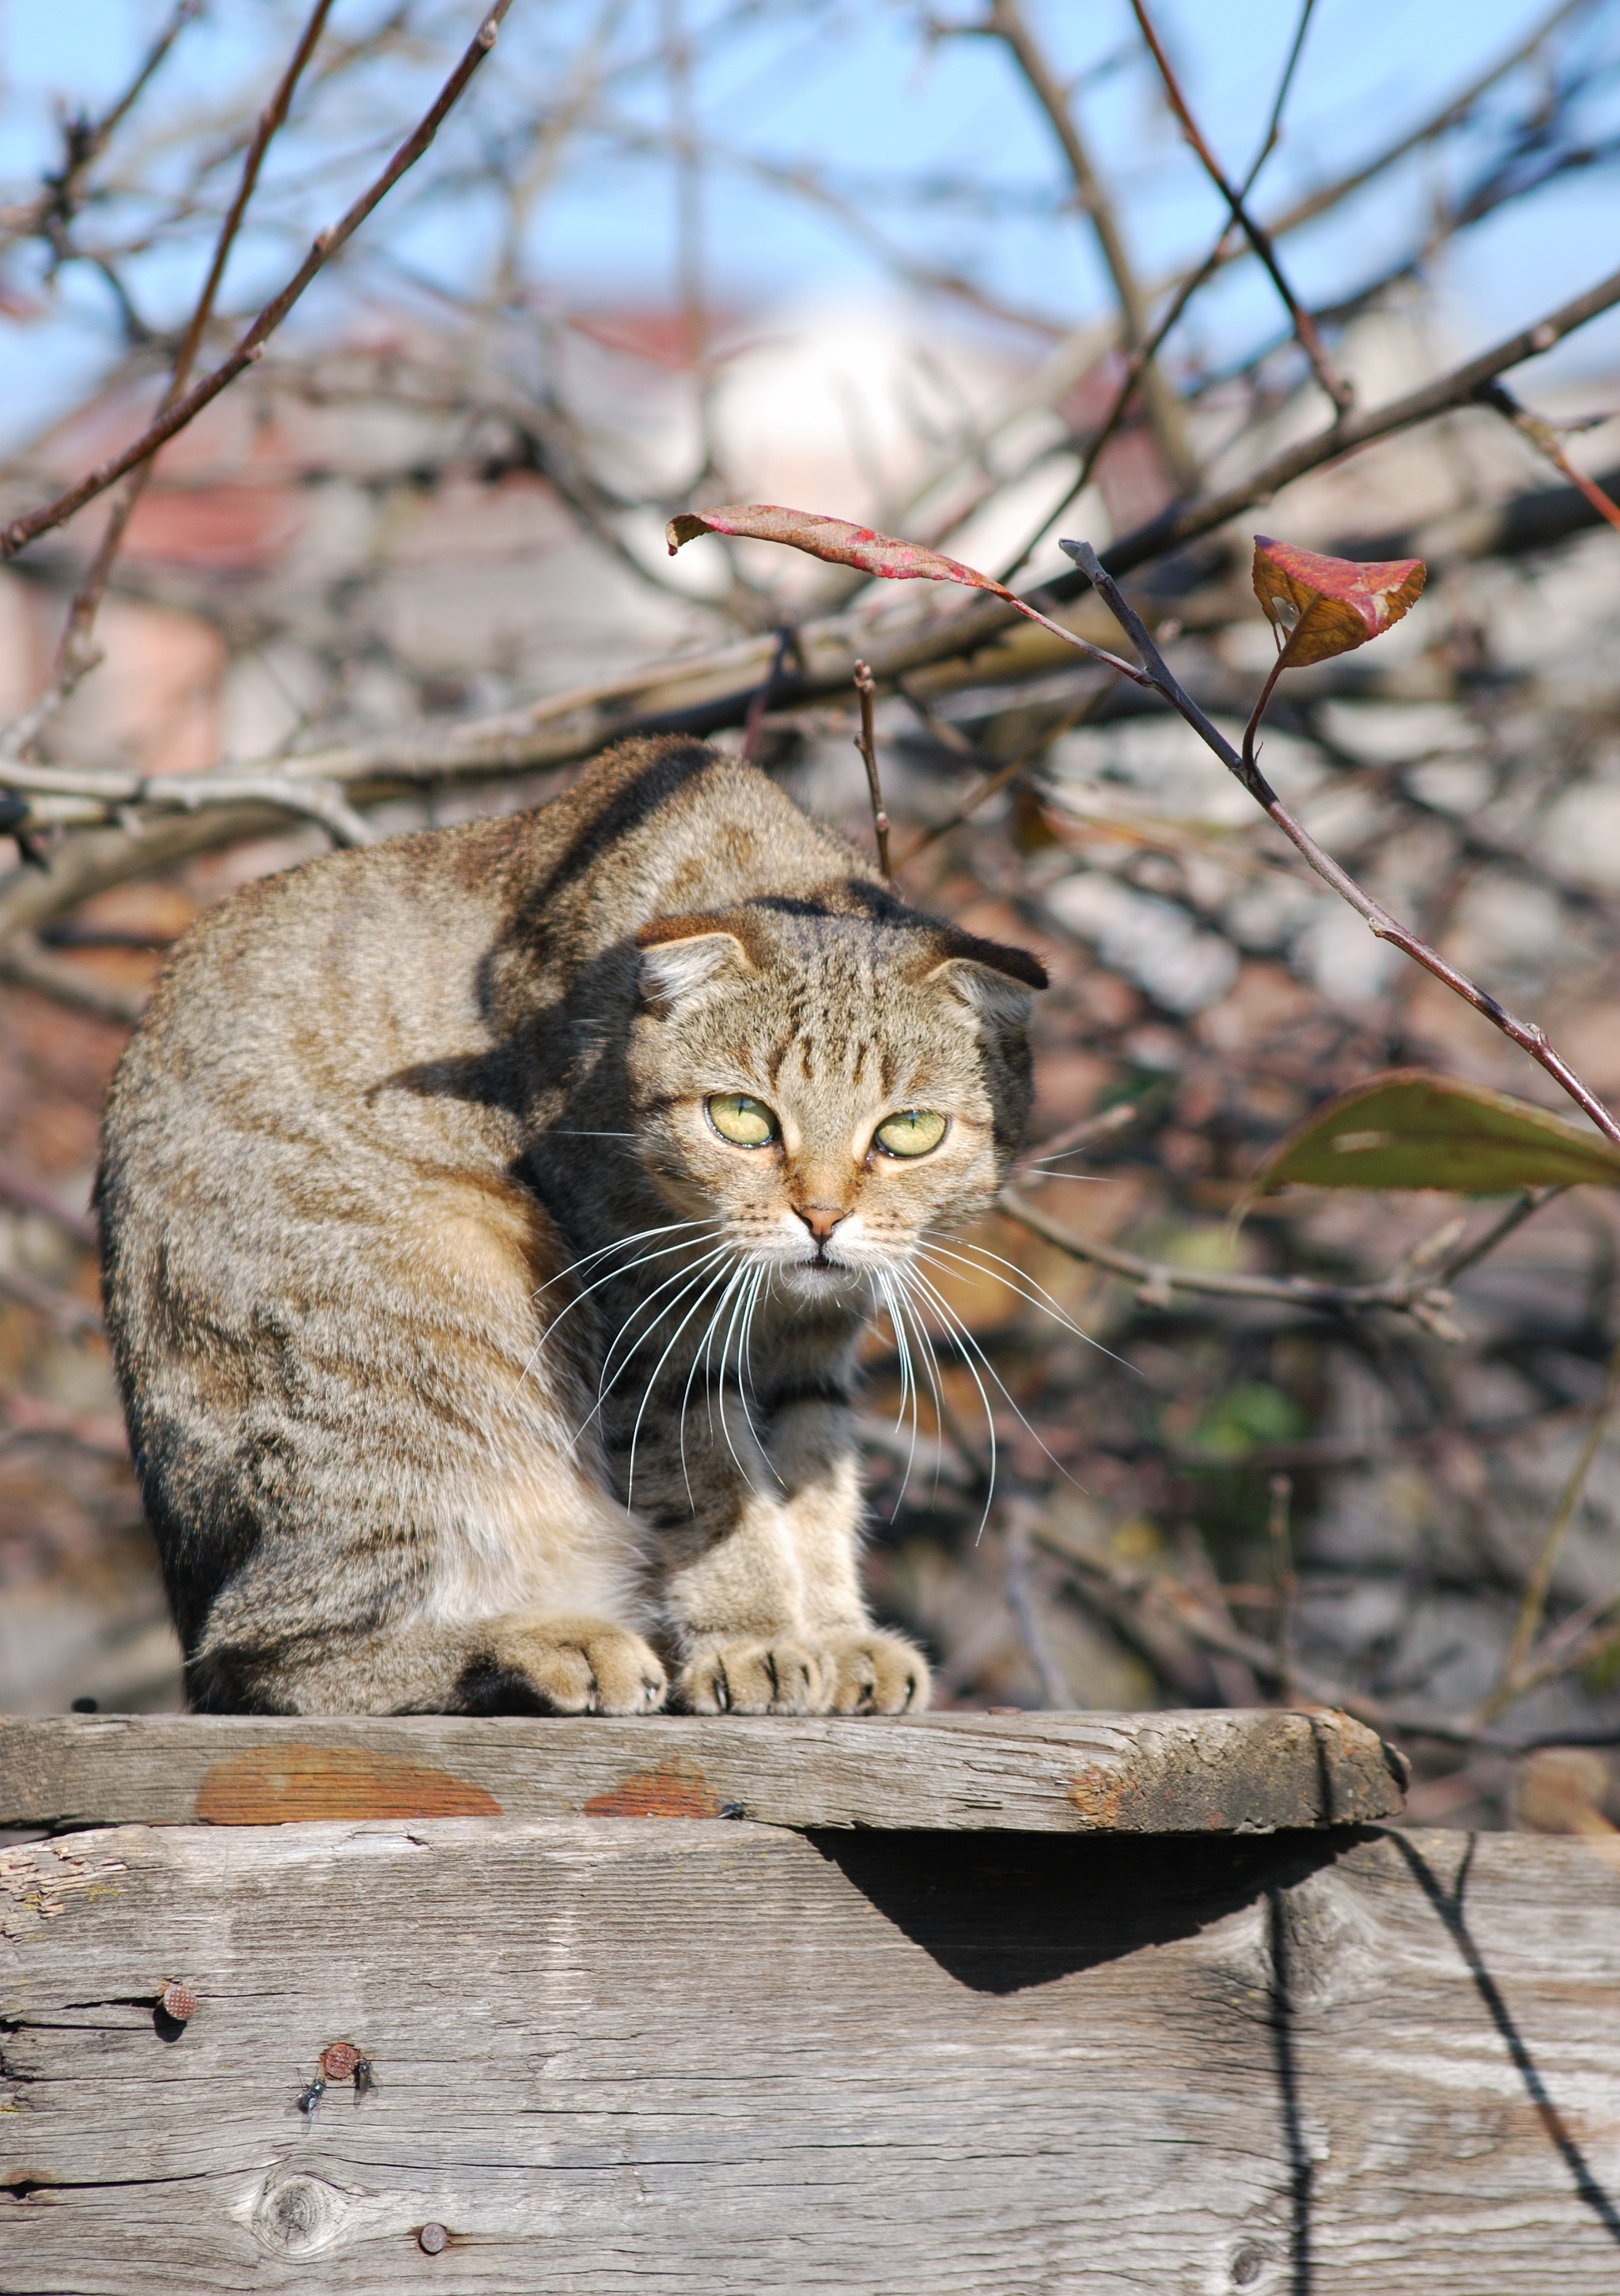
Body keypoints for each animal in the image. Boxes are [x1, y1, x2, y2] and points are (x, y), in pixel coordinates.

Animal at [94, 730, 1043, 1708]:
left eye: (909, 1130)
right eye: (741, 1116)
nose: (820, 1215)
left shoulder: (812, 1335)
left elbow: (811, 1475)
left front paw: (838, 1634)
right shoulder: (651, 1318)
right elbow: (712, 1478)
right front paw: (756, 1638)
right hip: (439, 1304)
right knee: (266, 1648)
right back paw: (546, 1644)